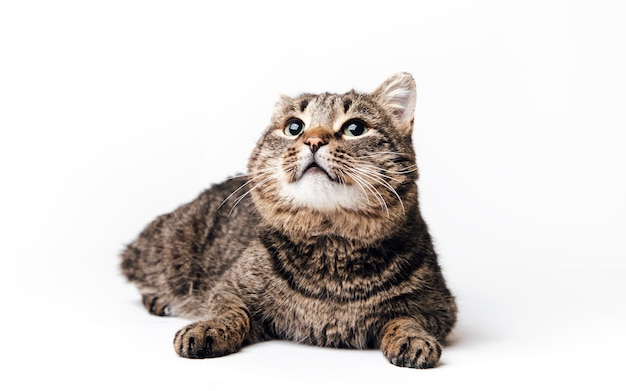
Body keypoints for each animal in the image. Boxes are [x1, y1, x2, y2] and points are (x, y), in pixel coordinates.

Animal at [119, 73, 456, 370]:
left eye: (355, 128)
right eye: (294, 127)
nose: (314, 140)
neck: (330, 247)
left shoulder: (439, 306)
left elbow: (406, 319)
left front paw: (413, 340)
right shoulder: (227, 288)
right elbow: (228, 311)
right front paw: (206, 328)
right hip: (165, 250)